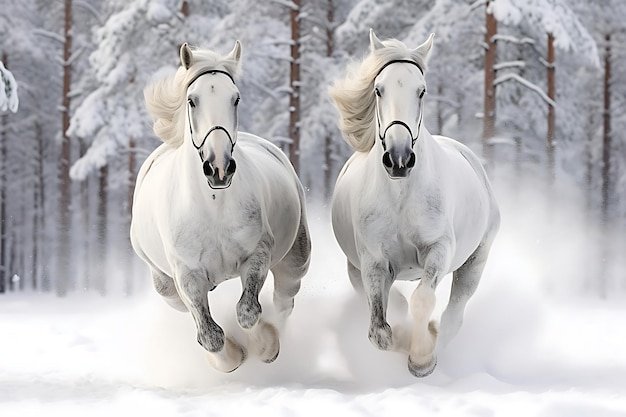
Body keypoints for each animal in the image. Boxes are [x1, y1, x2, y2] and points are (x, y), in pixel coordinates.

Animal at [130, 42, 310, 372]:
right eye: (192, 100)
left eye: (235, 98)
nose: (219, 167)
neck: (212, 207)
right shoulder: (187, 275)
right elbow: (210, 335)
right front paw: (231, 358)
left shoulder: (257, 255)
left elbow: (248, 312)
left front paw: (264, 347)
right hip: (166, 287)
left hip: (295, 260)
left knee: (284, 300)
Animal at [326, 31, 498, 376]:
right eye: (378, 89)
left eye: (422, 90)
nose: (399, 159)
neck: (401, 196)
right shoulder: (372, 262)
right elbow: (380, 330)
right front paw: (406, 343)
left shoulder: (439, 248)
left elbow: (422, 301)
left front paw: (421, 359)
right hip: (355, 269)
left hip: (474, 263)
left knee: (453, 317)